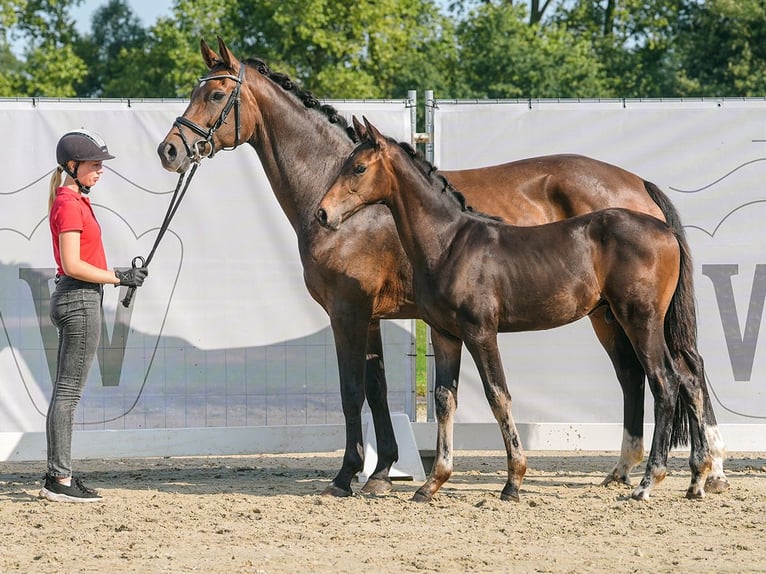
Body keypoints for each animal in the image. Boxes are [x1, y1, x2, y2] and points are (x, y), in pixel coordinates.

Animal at [316, 118, 716, 504]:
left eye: (359, 167)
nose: (323, 213)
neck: (450, 243)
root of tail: (664, 229)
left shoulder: (480, 332)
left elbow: (498, 396)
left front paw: (513, 483)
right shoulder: (445, 335)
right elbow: (446, 400)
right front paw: (431, 484)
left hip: (640, 319)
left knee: (665, 381)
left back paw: (649, 482)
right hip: (640, 321)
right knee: (689, 377)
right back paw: (698, 479)